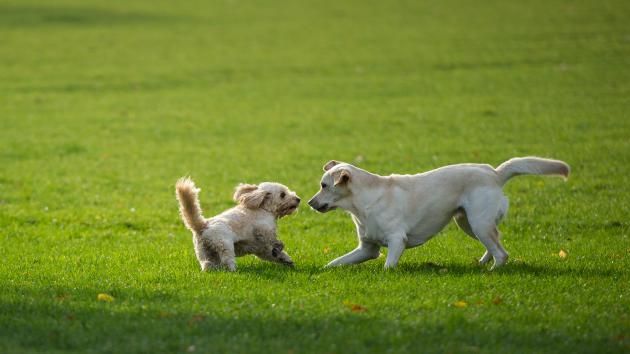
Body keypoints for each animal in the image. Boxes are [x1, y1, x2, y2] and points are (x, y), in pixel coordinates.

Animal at [308, 156, 572, 270]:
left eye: (324, 185)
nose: (309, 202)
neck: (362, 203)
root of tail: (495, 173)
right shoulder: (367, 249)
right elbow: (335, 262)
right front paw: (322, 271)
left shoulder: (396, 241)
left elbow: (388, 267)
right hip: (467, 223)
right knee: (495, 244)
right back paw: (481, 264)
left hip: (478, 222)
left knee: (502, 253)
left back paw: (492, 272)